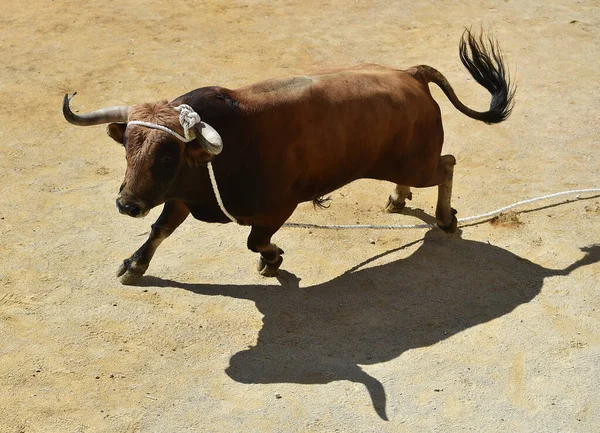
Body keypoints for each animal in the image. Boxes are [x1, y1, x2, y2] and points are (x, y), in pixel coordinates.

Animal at [64, 28, 516, 282]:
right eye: (128, 148)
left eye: (167, 156)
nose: (127, 204)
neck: (222, 153)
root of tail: (410, 74)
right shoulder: (182, 196)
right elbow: (159, 230)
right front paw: (133, 265)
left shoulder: (278, 207)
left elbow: (254, 241)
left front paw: (273, 259)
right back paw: (397, 197)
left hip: (420, 162)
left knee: (446, 164)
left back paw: (445, 218)